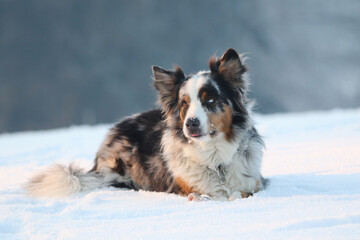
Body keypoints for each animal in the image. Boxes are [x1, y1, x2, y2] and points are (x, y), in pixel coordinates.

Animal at [25, 48, 268, 201]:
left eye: (210, 100)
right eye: (184, 103)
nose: (191, 124)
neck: (215, 160)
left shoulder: (256, 183)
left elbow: (239, 193)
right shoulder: (184, 187)